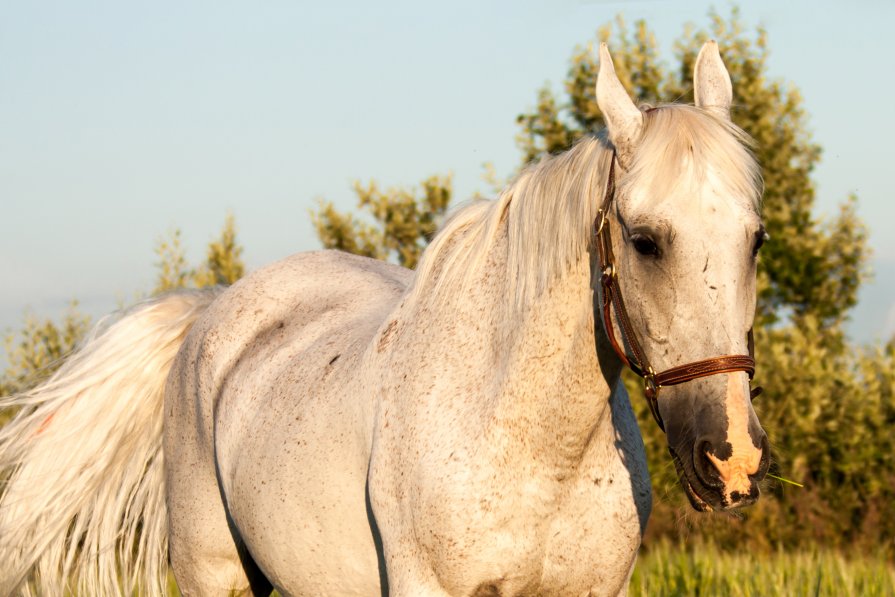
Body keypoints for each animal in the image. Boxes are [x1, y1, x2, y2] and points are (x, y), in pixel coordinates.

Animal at [0, 43, 768, 596]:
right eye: (644, 240)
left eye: (755, 239)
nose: (732, 459)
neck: (531, 444)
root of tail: (212, 310)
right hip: (213, 573)